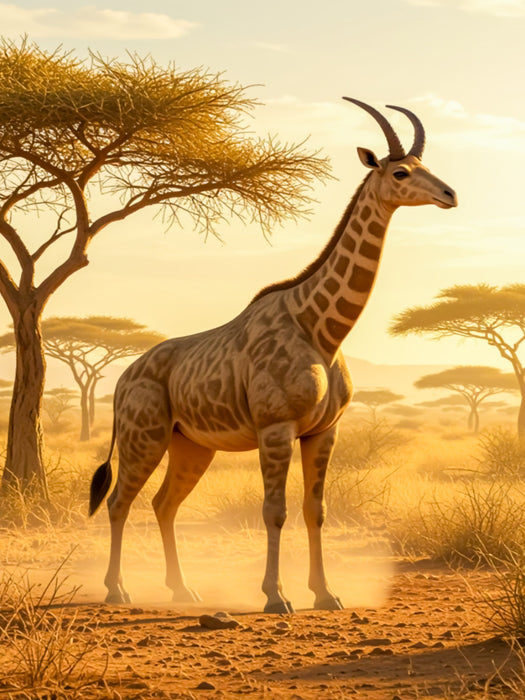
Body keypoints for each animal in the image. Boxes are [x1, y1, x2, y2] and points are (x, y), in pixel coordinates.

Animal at [89, 98, 457, 613]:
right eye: (401, 172)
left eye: (426, 166)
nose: (449, 194)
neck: (321, 329)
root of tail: (123, 379)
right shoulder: (276, 427)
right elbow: (274, 511)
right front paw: (275, 597)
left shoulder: (323, 431)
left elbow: (315, 510)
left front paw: (326, 593)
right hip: (145, 435)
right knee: (120, 500)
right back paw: (116, 590)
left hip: (191, 444)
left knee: (165, 504)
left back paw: (182, 589)